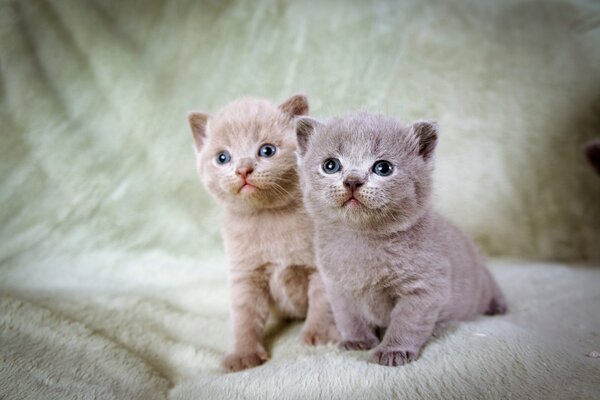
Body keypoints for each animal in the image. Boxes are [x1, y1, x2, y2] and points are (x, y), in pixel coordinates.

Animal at [188, 94, 338, 372]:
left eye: (267, 150)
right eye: (222, 157)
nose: (243, 169)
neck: (268, 217)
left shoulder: (320, 268)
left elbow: (322, 302)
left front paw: (320, 335)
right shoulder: (246, 276)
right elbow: (244, 317)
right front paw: (243, 355)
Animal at [296, 111, 506, 366]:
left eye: (383, 168)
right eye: (330, 165)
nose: (353, 180)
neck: (362, 239)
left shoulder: (423, 288)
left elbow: (406, 322)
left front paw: (394, 350)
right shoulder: (338, 288)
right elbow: (349, 317)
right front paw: (358, 341)